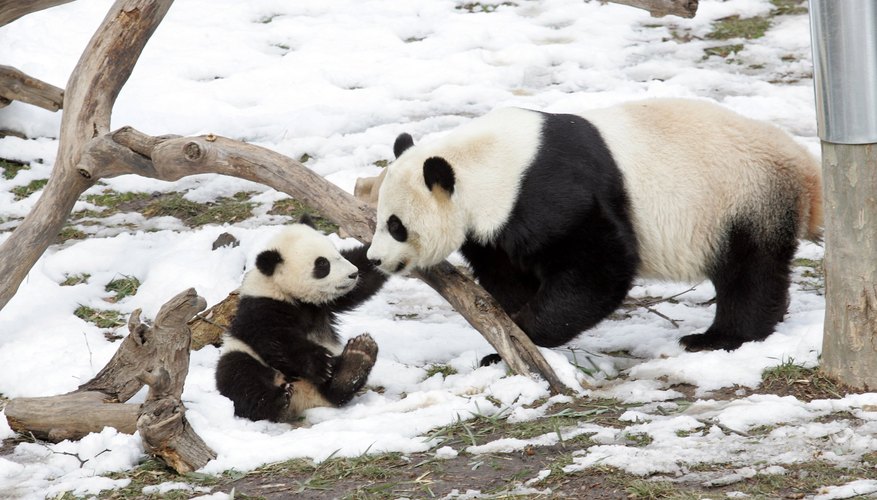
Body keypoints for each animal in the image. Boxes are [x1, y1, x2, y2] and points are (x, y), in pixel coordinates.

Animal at [216, 219, 386, 422]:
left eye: (336, 253)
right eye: (322, 264)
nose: (353, 274)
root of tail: (304, 398)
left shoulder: (327, 304)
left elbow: (366, 275)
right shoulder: (260, 307)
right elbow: (275, 339)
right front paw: (319, 364)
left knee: (335, 391)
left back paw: (357, 358)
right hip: (242, 354)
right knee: (239, 377)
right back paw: (277, 401)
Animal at [364, 98, 820, 356]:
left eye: (396, 226)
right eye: (382, 220)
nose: (375, 259)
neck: (483, 160)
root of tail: (803, 167)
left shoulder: (549, 190)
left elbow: (599, 268)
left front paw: (525, 333)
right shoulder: (497, 224)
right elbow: (506, 274)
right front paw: (509, 335)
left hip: (741, 199)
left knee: (749, 271)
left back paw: (719, 338)